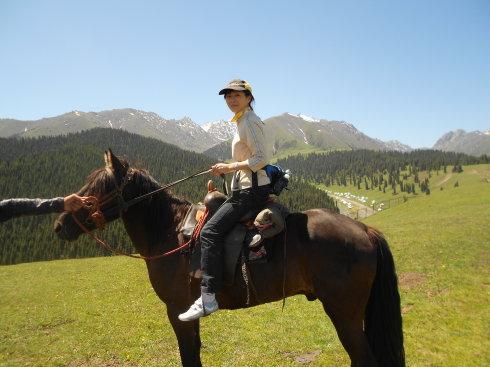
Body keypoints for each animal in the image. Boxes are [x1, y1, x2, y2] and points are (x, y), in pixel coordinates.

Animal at [54, 150, 406, 367]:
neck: (169, 230)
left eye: (97, 188)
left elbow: (189, 357)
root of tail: (365, 229)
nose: (60, 225)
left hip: (344, 314)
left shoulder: (176, 311)